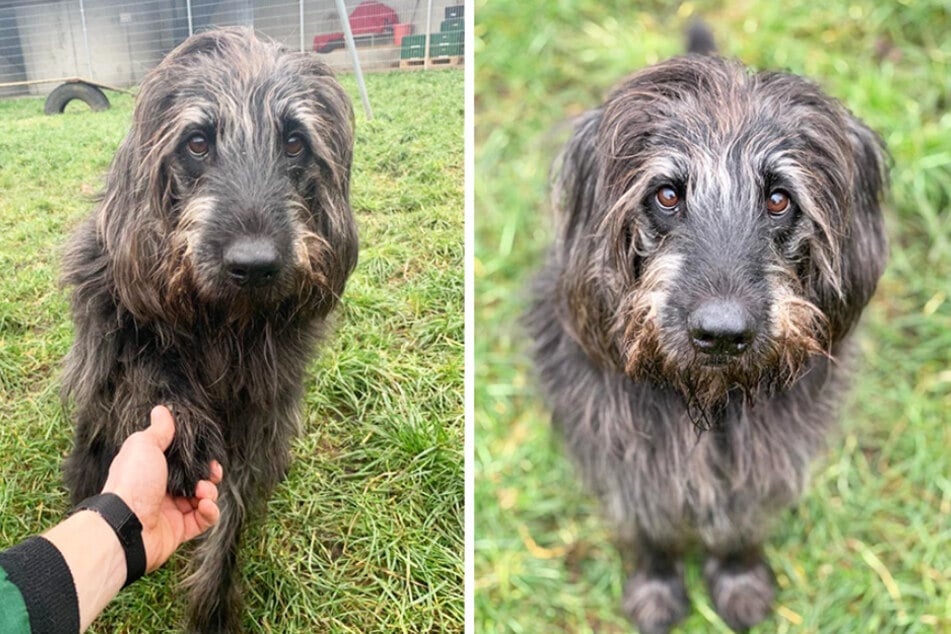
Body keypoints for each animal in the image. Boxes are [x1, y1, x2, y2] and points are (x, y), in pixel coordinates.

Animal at [59, 27, 356, 628]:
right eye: (197, 143)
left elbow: (233, 515)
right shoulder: (105, 300)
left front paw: (214, 606)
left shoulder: (262, 406)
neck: (225, 320)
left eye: (295, 143)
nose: (255, 265)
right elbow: (141, 360)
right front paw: (181, 434)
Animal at [524, 22, 888, 628]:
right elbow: (649, 527)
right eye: (668, 195)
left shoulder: (762, 458)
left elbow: (738, 526)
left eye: (778, 199)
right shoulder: (628, 455)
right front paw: (655, 589)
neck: (706, 396)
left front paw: (739, 583)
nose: (721, 334)